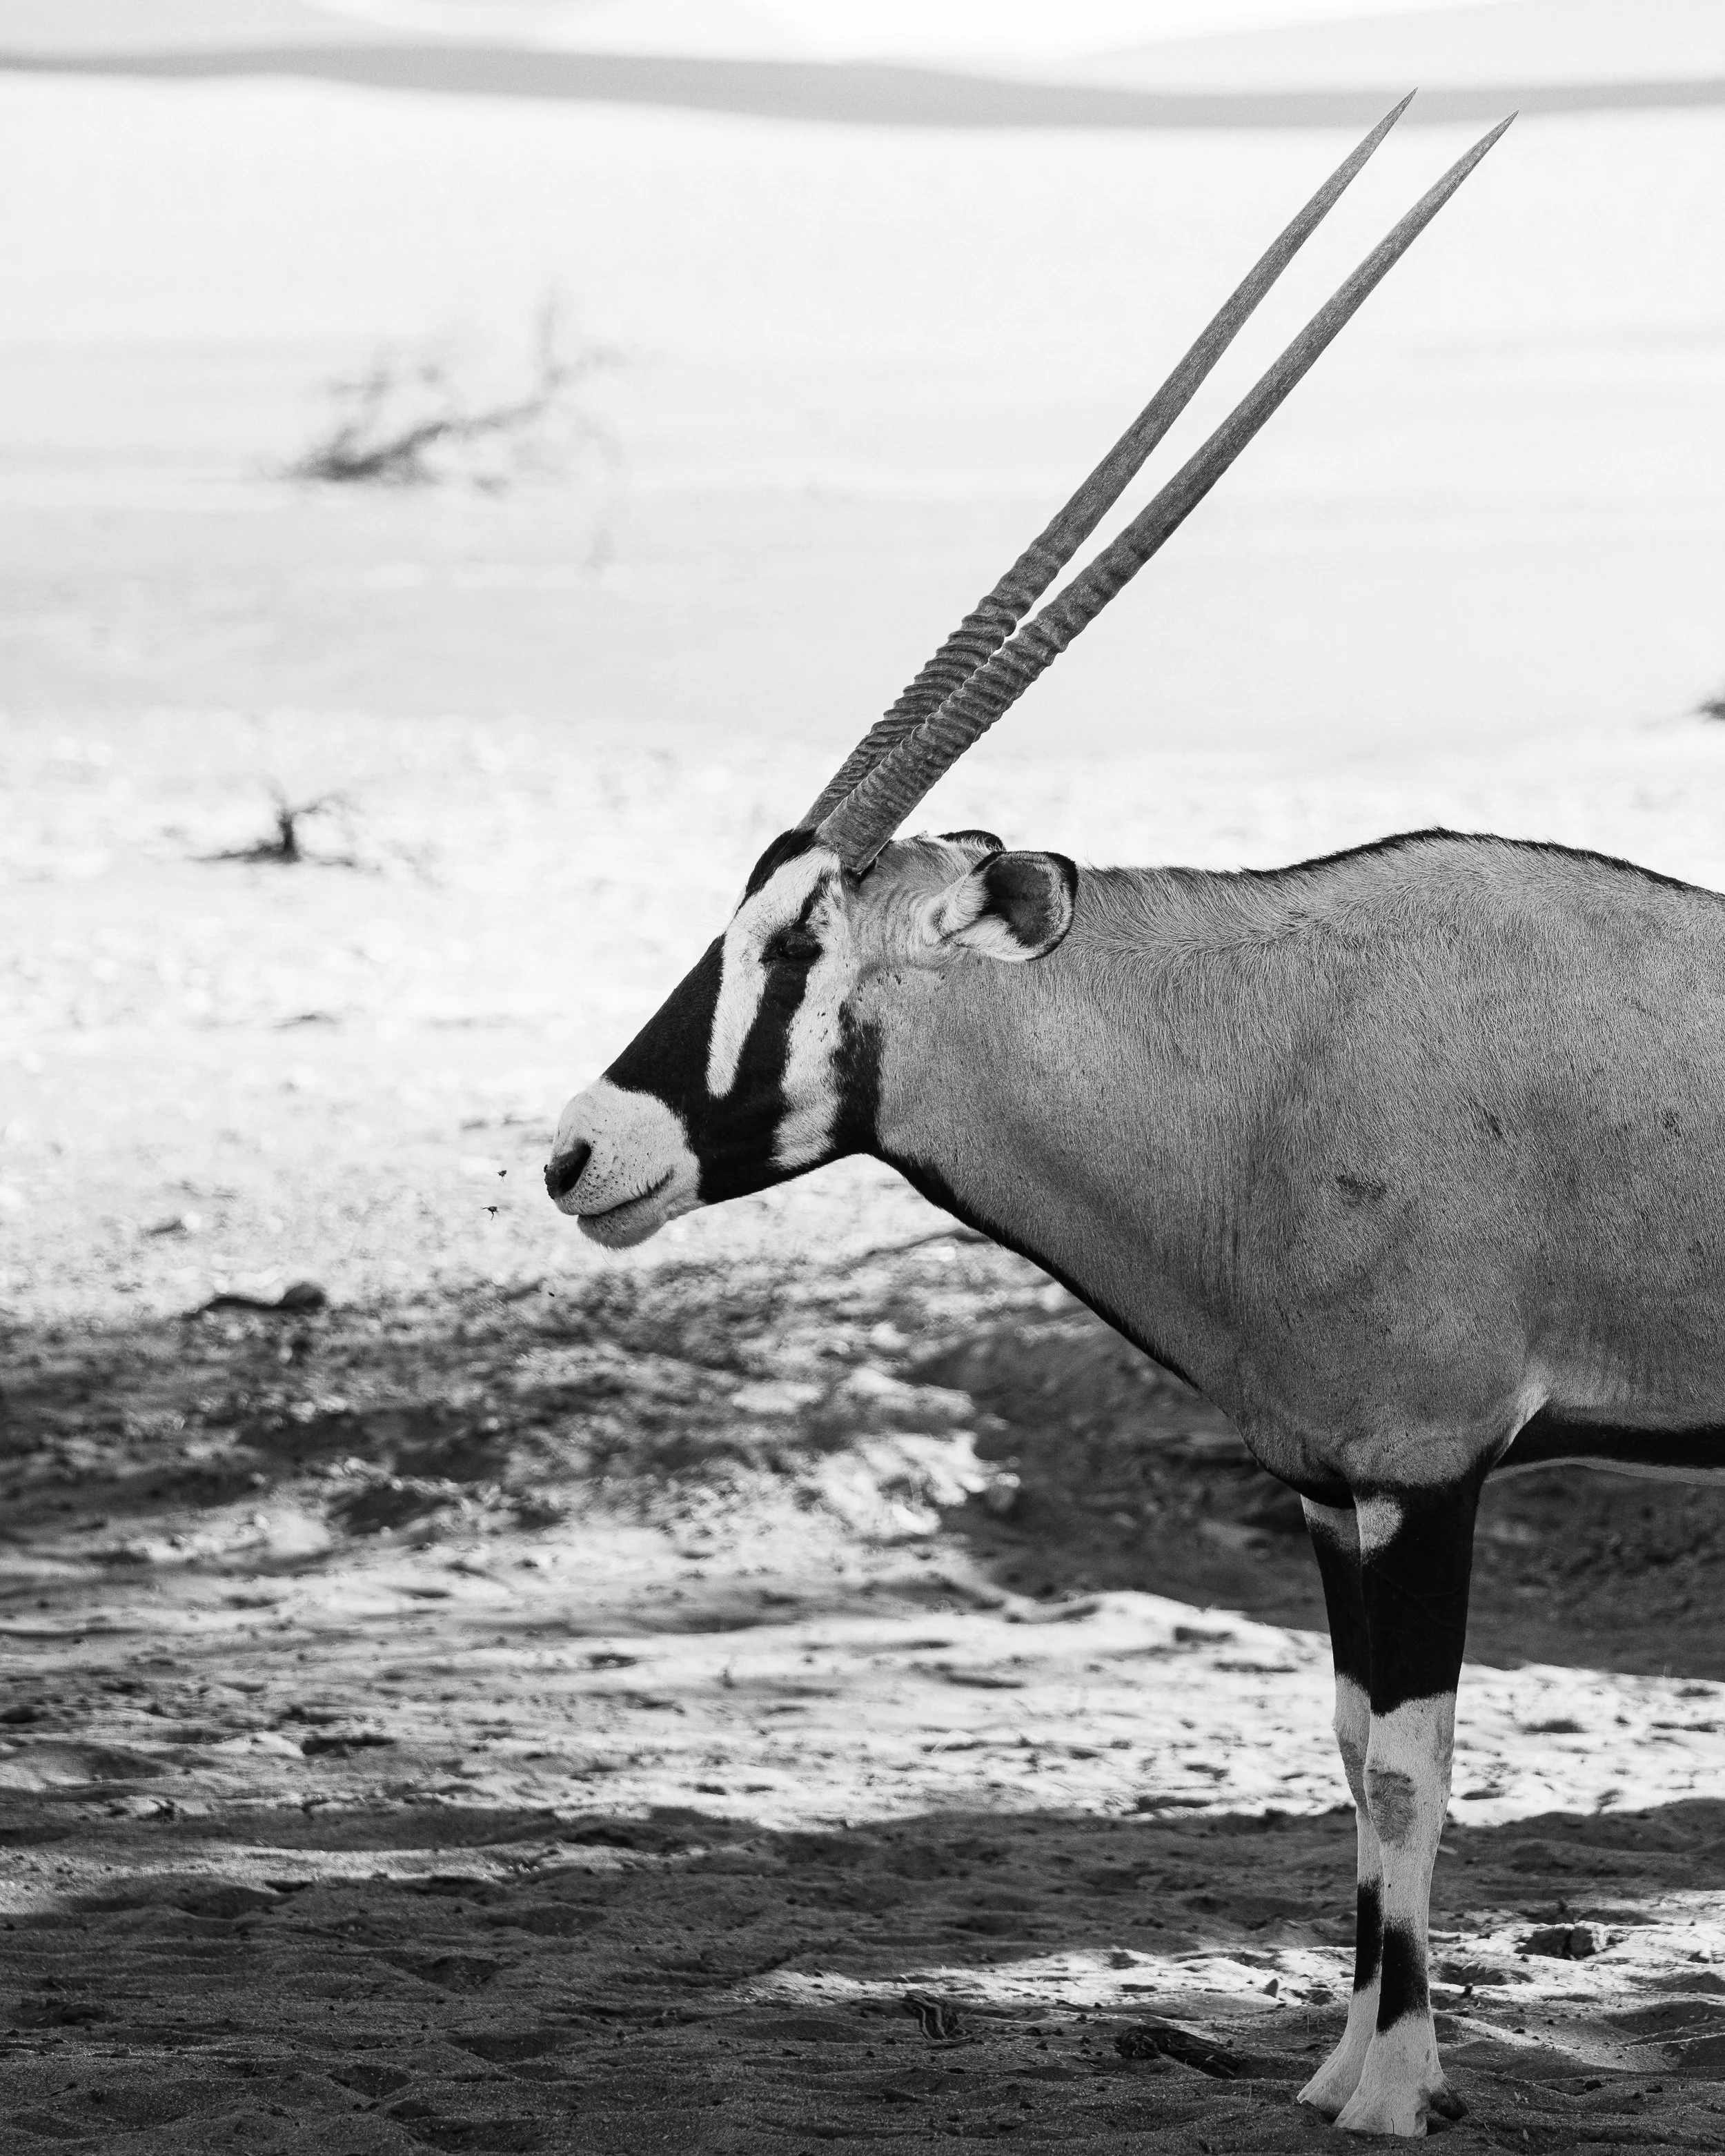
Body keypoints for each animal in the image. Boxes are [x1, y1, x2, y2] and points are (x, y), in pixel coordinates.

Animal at [540, 101, 1716, 2136]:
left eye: (800, 942)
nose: (578, 1155)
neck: (1249, 1048)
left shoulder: (1424, 1474)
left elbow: (1405, 1765)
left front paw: (1391, 2087)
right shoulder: (1332, 1487)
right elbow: (1346, 1746)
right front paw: (1338, 2064)